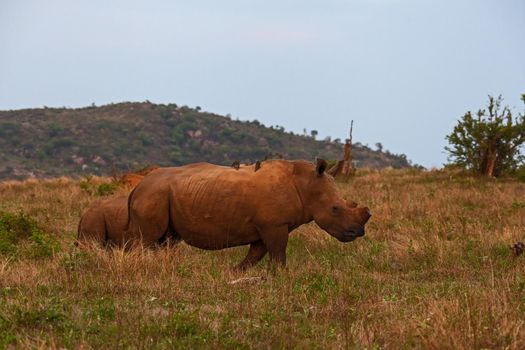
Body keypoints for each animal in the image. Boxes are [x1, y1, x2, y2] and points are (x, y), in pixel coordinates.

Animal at [127, 160, 370, 270]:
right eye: (335, 208)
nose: (357, 232)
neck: (305, 183)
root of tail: (137, 188)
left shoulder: (267, 226)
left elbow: (256, 255)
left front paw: (234, 272)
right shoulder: (274, 225)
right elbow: (278, 253)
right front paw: (281, 277)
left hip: (161, 194)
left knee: (167, 240)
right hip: (154, 194)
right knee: (147, 239)